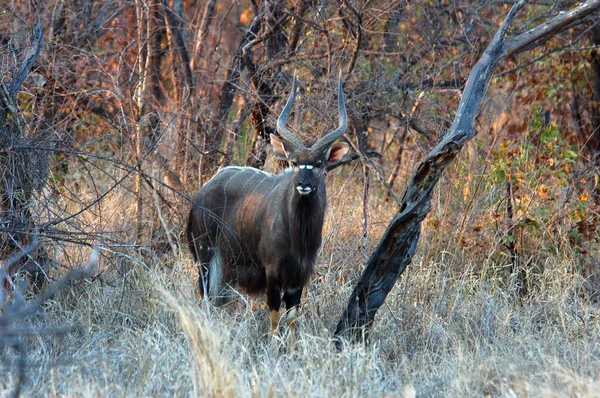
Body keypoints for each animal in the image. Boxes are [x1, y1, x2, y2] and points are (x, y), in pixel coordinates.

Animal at [185, 73, 350, 334]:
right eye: (294, 162)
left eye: (319, 164)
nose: (303, 184)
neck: (298, 235)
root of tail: (199, 195)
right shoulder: (272, 272)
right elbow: (274, 318)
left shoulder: (298, 278)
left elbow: (291, 319)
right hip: (205, 256)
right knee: (204, 297)